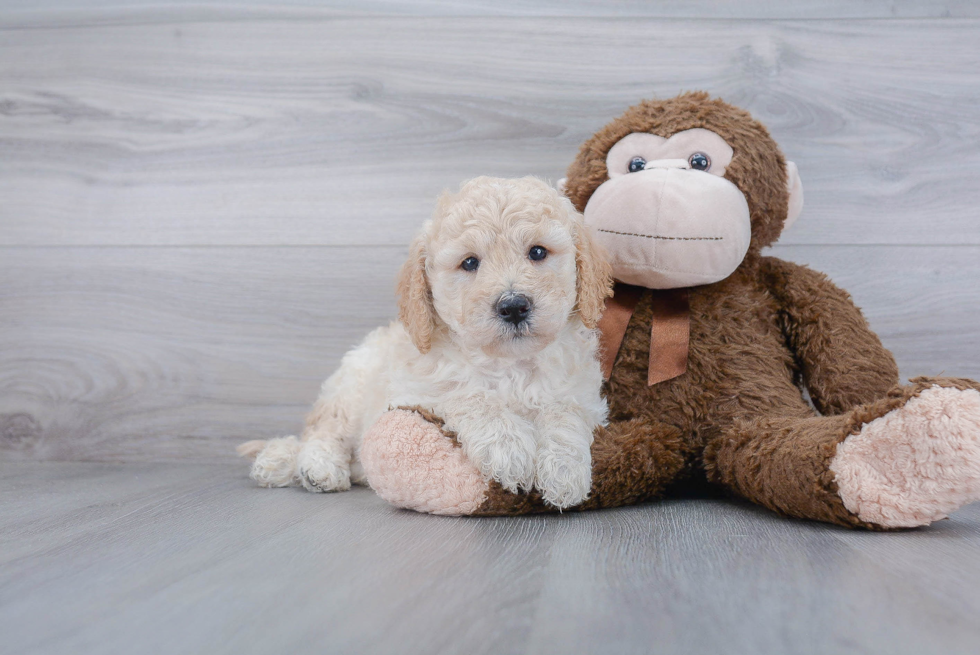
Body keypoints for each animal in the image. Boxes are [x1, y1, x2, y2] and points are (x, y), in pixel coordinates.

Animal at [237, 177, 608, 510]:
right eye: (469, 262)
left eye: (538, 252)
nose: (514, 305)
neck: (509, 364)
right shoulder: (418, 388)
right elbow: (469, 394)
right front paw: (509, 449)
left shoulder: (582, 393)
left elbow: (565, 413)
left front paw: (564, 472)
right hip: (349, 391)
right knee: (323, 433)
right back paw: (316, 467)